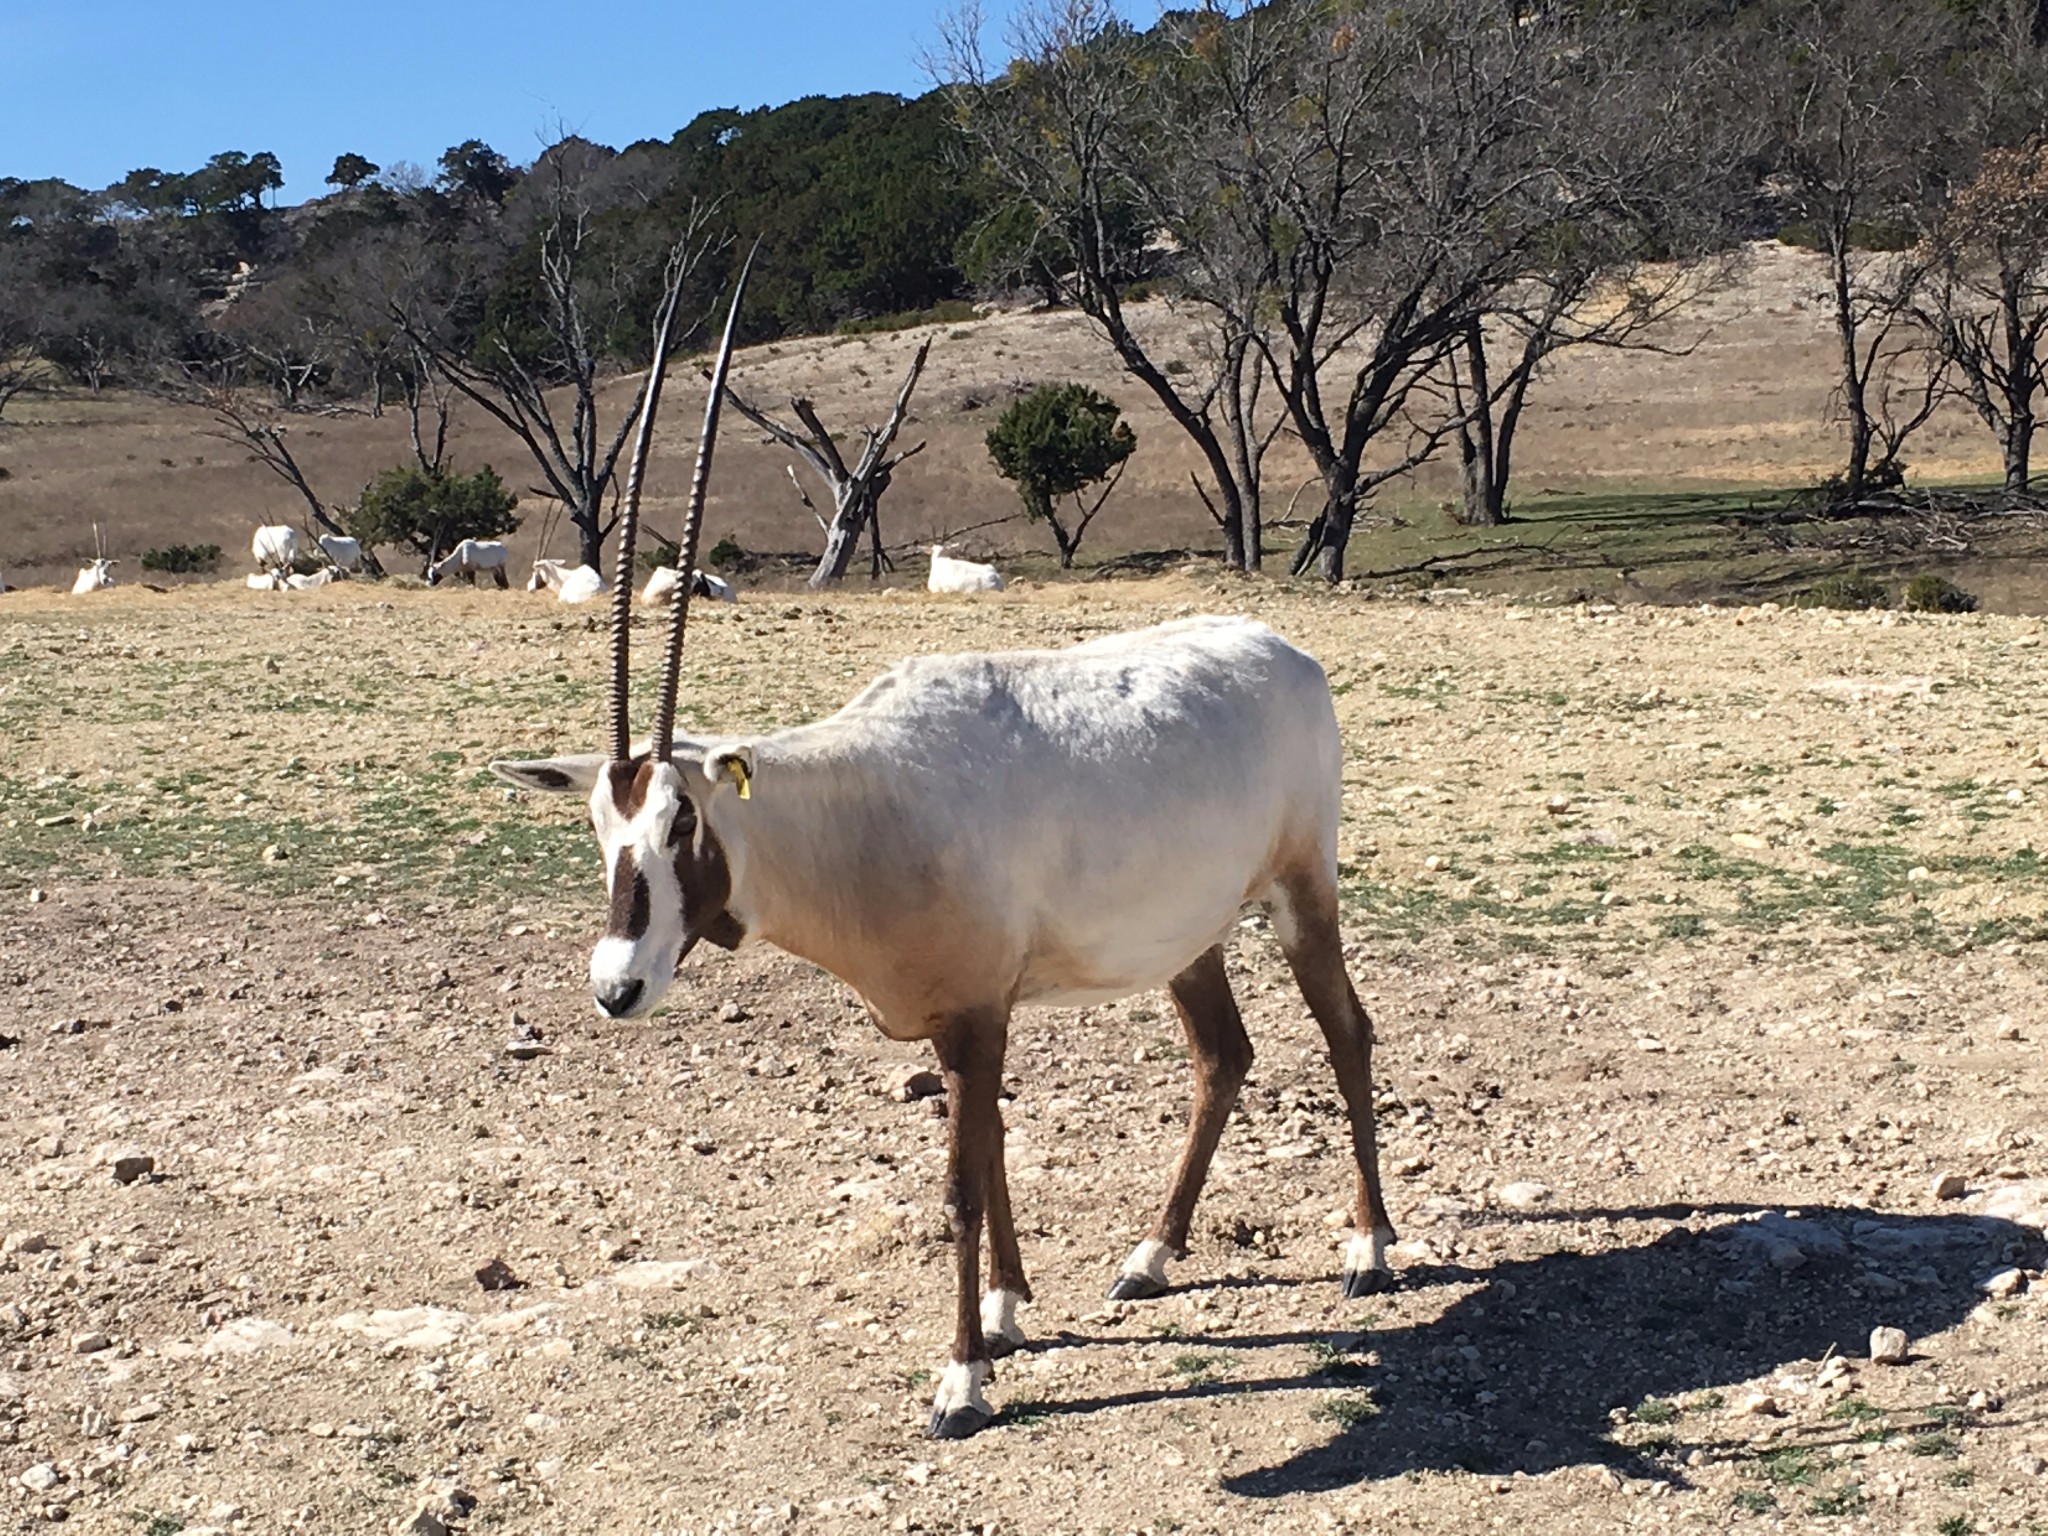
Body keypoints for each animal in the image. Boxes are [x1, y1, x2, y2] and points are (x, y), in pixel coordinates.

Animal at [491, 252, 1409, 1441]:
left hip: (1302, 892)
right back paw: (1150, 1258)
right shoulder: (960, 1019)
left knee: (1346, 1032)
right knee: (1224, 1056)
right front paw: (1013, 1313)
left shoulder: (976, 1015)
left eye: (680, 821)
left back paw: (1368, 1249)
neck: (863, 806)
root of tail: (1285, 650)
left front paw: (963, 1379)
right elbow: (993, 1152)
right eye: (601, 825)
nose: (616, 988)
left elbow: (963, 1182)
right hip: (1187, 935)